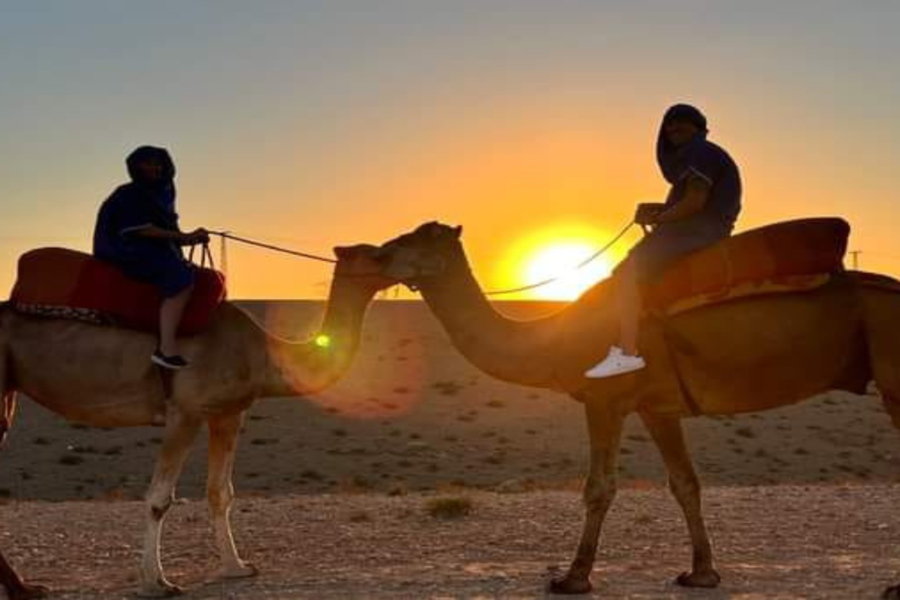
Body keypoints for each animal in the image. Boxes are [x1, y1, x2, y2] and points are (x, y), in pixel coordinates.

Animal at [0, 243, 396, 598]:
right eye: (375, 253)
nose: (399, 262)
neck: (261, 355)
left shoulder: (228, 413)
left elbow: (220, 492)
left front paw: (236, 567)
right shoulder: (185, 411)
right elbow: (160, 498)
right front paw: (156, 583)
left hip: (9, 392)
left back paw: (24, 587)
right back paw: (22, 587)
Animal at [375, 221, 900, 595]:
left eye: (417, 238)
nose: (374, 254)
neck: (554, 338)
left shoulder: (604, 399)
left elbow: (599, 488)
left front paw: (572, 578)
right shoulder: (657, 407)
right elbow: (685, 483)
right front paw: (701, 574)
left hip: (893, 377)